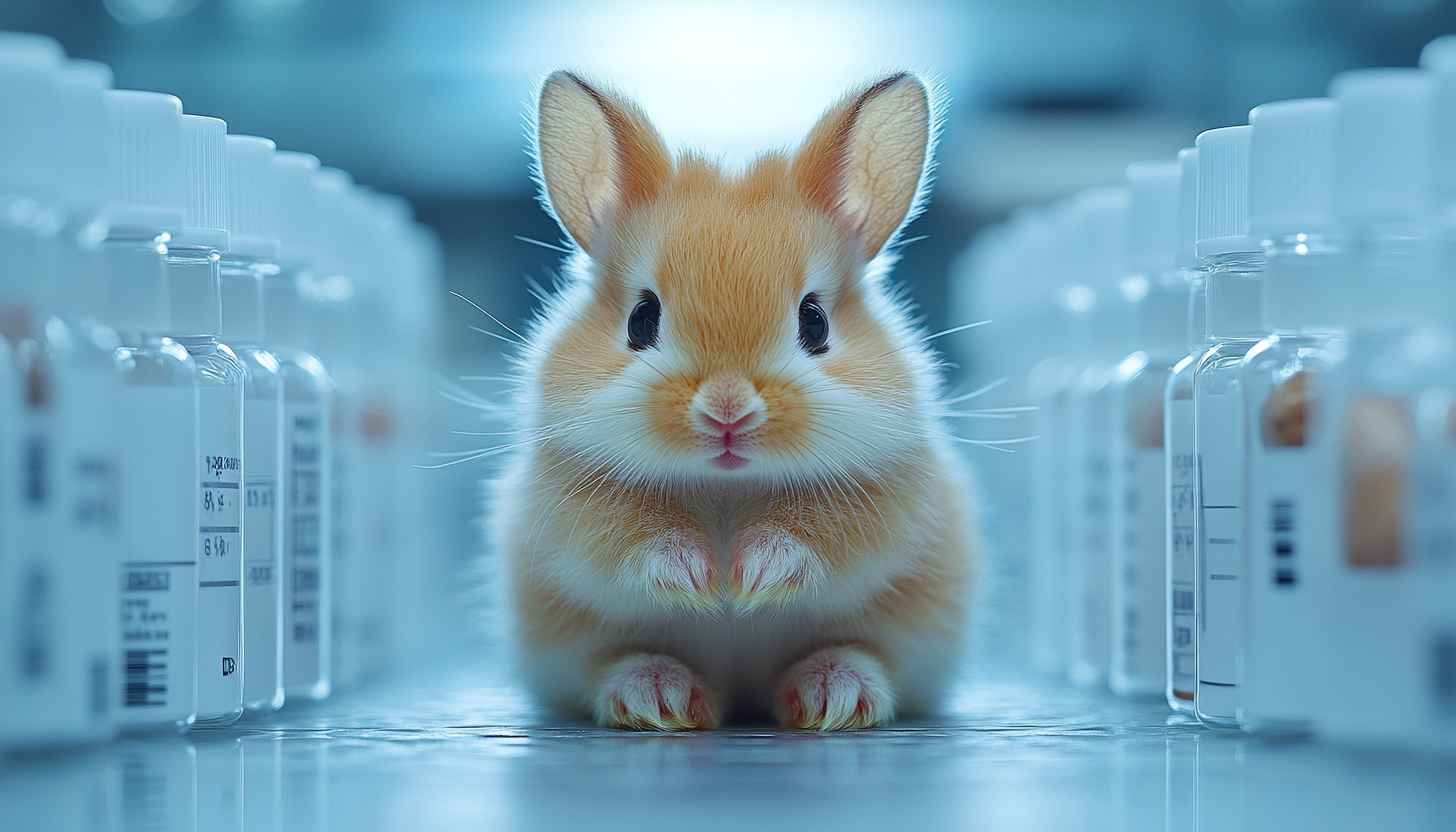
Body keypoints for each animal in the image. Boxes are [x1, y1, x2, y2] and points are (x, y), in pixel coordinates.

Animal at [489, 69, 977, 731]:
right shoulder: (573, 506)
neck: (727, 489)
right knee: (613, 664)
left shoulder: (886, 502)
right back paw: (660, 698)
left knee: (858, 656)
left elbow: (819, 536)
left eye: (815, 322)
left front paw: (748, 580)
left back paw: (831, 696)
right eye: (641, 320)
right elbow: (634, 537)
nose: (727, 412)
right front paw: (704, 582)